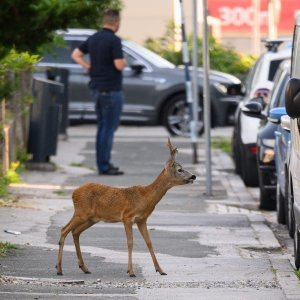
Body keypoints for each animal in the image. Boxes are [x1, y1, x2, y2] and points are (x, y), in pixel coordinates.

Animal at [55, 138, 197, 276]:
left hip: (92, 218)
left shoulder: (142, 219)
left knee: (75, 232)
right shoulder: (127, 217)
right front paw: (131, 271)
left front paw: (160, 270)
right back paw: (59, 269)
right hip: (81, 213)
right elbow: (130, 243)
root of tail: (74, 193)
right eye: (179, 169)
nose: (193, 176)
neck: (145, 197)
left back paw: (84, 268)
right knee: (64, 230)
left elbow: (149, 242)